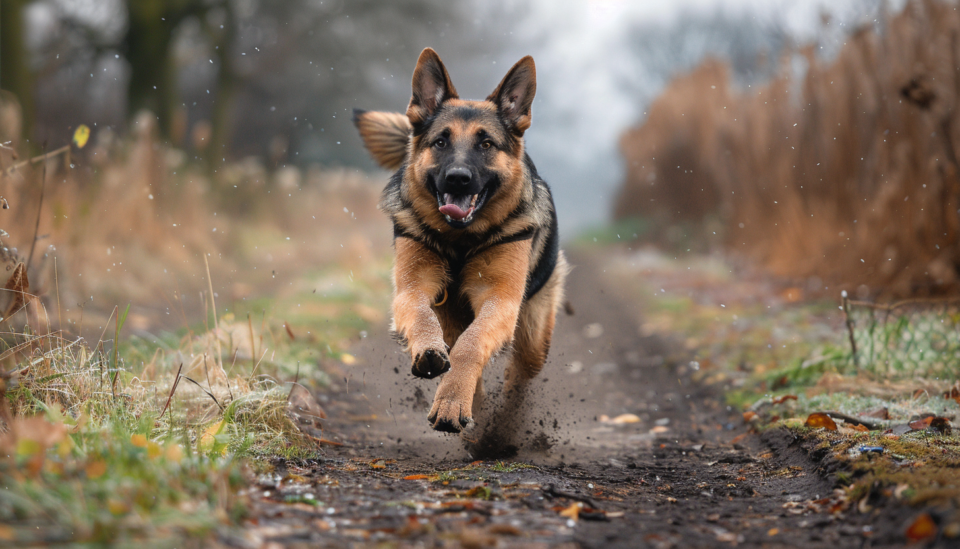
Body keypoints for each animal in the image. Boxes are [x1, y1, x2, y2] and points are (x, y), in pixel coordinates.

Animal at [352, 48, 568, 432]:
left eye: (486, 144)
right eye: (441, 142)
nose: (457, 178)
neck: (460, 240)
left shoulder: (501, 300)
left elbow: (472, 345)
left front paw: (452, 401)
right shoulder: (412, 288)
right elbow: (422, 315)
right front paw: (431, 357)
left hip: (532, 332)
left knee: (519, 374)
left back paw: (500, 425)